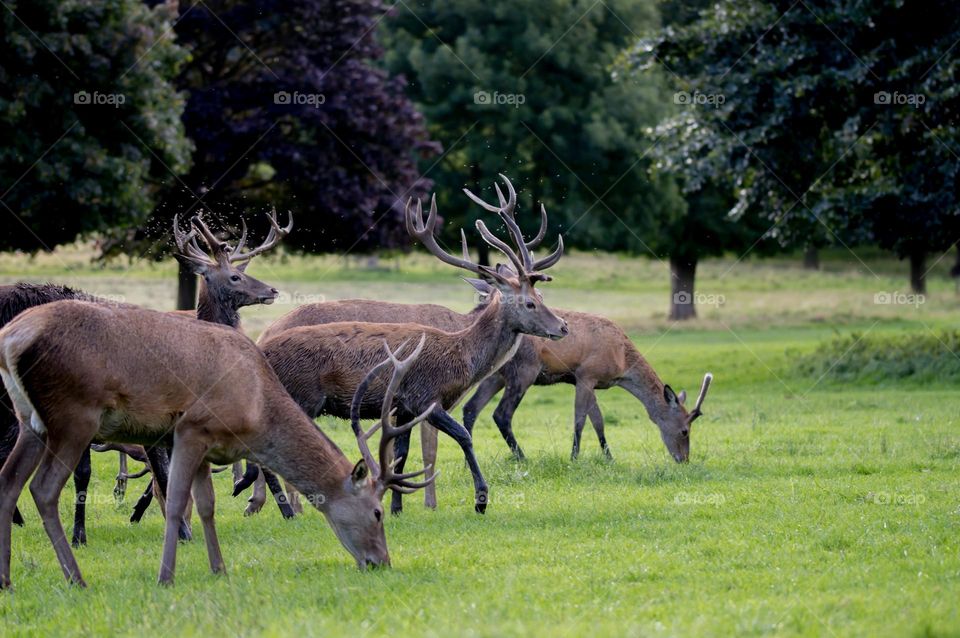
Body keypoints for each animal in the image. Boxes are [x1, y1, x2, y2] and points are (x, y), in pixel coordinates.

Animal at [0, 296, 432, 592]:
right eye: (377, 512)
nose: (381, 561)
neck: (255, 409)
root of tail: (11, 337)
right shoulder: (192, 427)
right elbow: (176, 502)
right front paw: (166, 577)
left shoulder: (210, 448)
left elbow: (207, 505)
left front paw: (219, 569)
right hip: (74, 415)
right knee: (43, 489)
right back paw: (77, 578)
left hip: (30, 421)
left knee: (9, 482)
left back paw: (7, 581)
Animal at [258, 174, 568, 516]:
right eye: (529, 303)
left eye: (541, 296)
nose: (562, 327)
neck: (461, 358)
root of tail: (262, 344)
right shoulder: (424, 397)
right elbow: (461, 436)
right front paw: (480, 499)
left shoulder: (403, 408)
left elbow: (401, 454)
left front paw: (396, 507)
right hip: (302, 396)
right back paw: (288, 510)